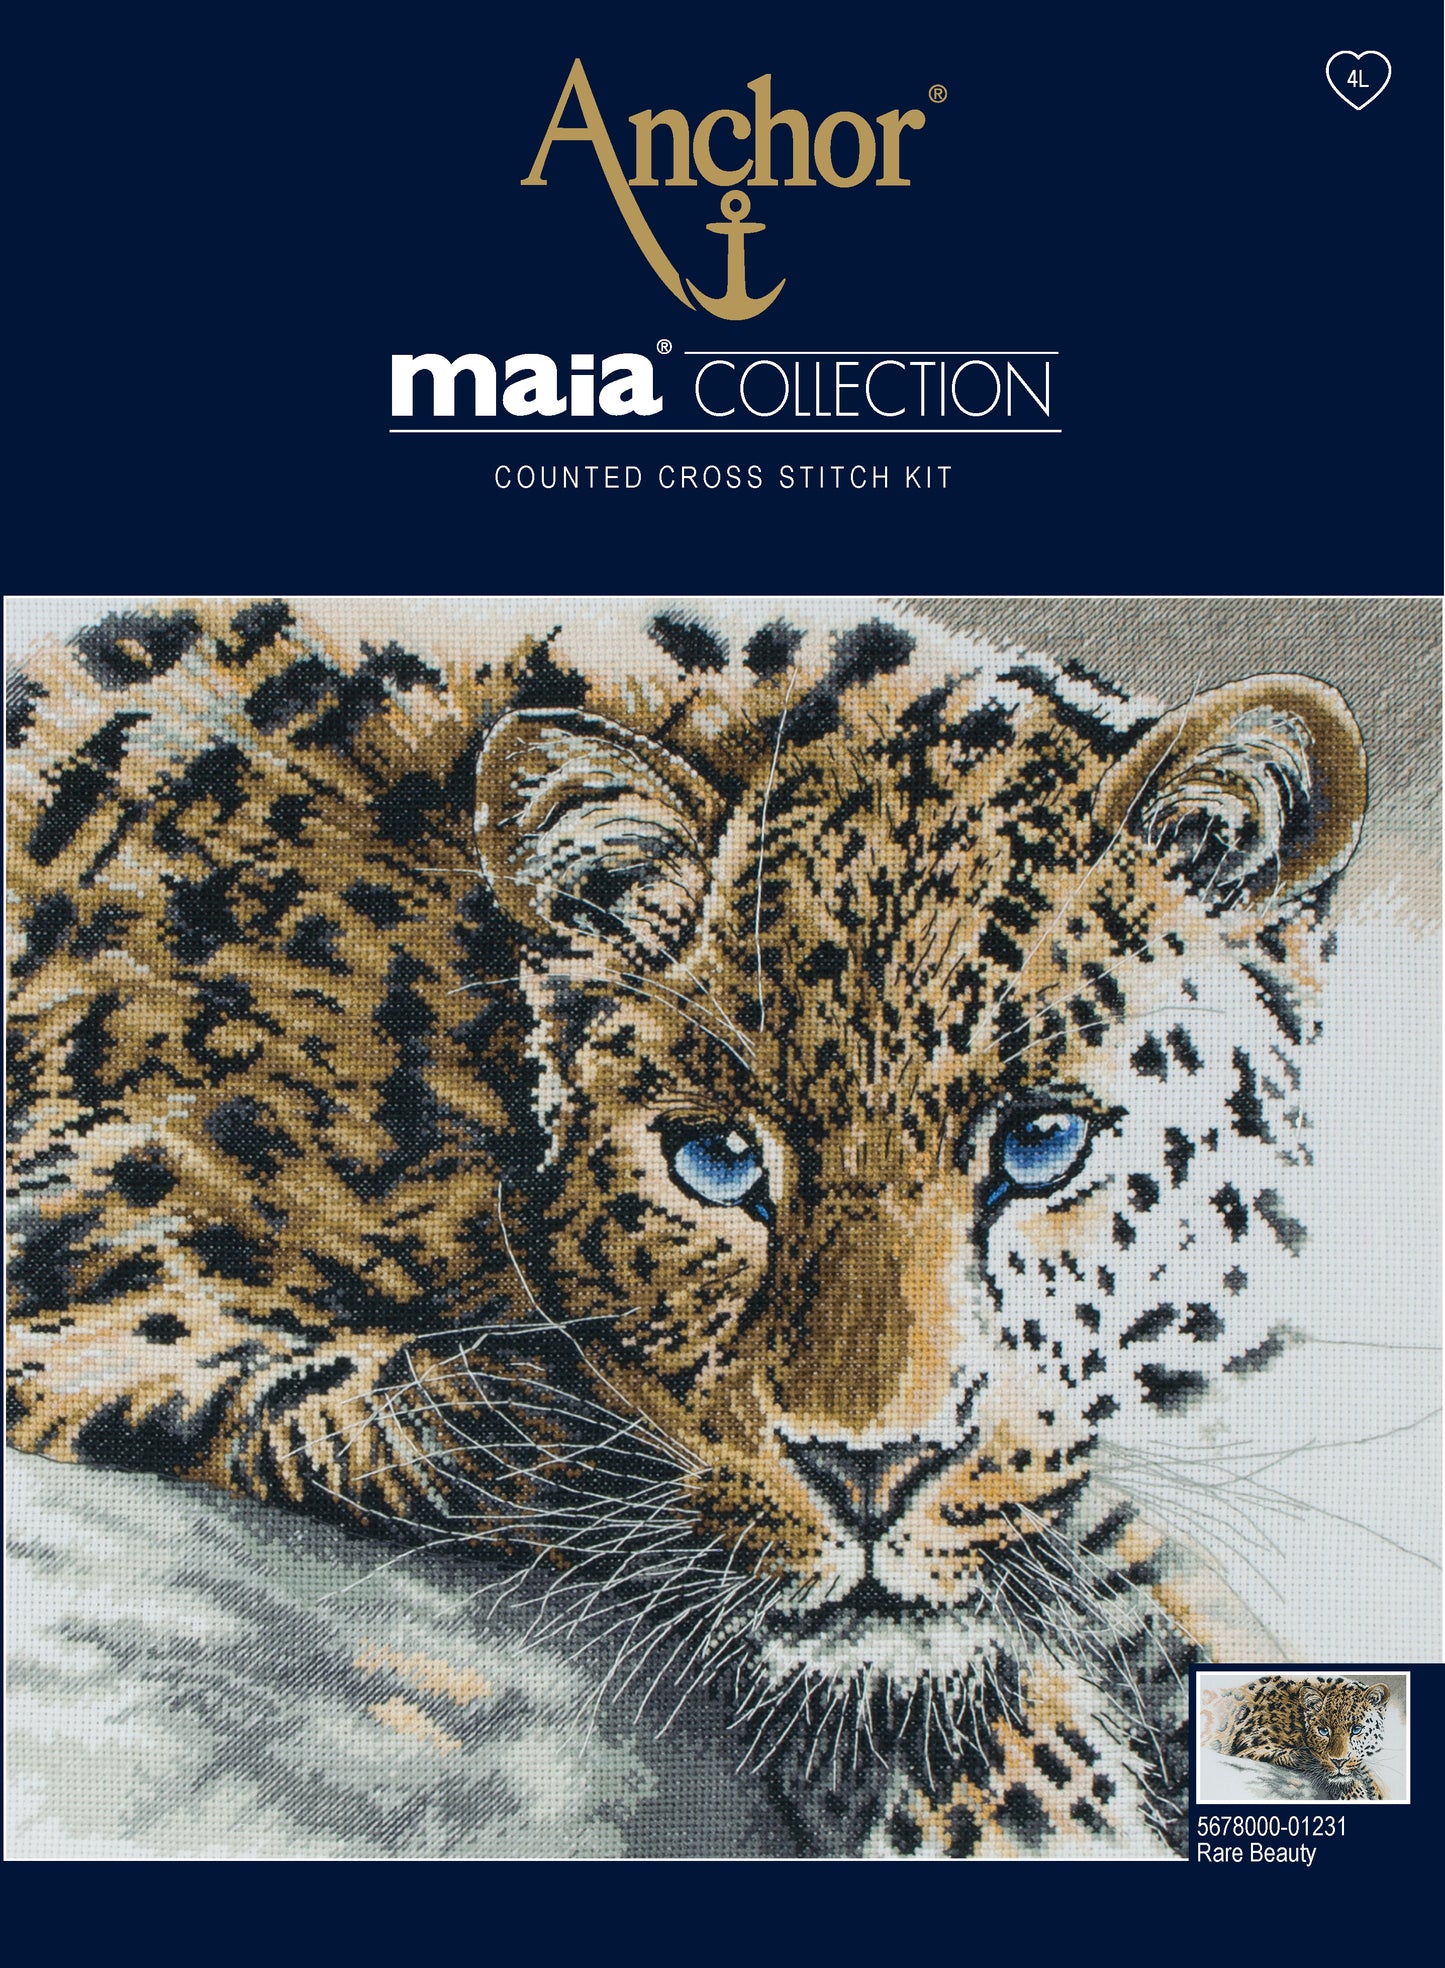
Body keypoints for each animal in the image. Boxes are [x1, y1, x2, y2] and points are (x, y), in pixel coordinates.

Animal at [5, 596, 1369, 1857]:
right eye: (716, 1160)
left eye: (1040, 1141)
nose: (865, 1472)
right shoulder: (92, 1274)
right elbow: (563, 1443)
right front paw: (1032, 1792)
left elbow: (1087, 1532)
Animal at [1201, 1675, 1390, 1799]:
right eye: (1323, 1731)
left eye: (1356, 1729)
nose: (1339, 1761)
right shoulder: (1253, 1746)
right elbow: (1310, 1760)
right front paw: (1355, 1791)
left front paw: (1373, 1787)